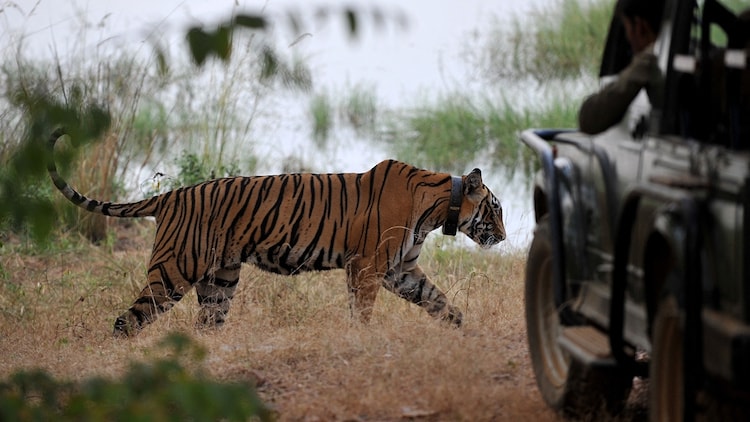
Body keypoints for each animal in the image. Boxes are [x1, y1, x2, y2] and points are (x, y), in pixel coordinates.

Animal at [48, 129, 506, 337]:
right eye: (496, 208)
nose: (503, 237)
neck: (439, 207)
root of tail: (172, 195)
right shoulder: (369, 266)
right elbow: (363, 311)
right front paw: (361, 340)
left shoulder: (401, 271)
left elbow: (440, 300)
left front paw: (465, 330)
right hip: (173, 271)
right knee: (127, 321)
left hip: (220, 280)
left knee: (205, 324)